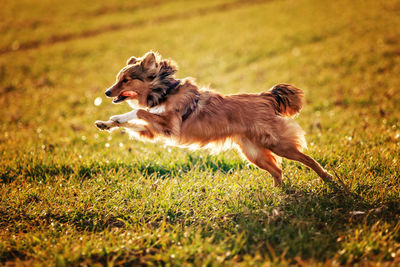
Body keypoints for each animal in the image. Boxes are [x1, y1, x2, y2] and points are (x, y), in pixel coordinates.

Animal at [95, 51, 332, 186]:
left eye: (126, 80)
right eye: (118, 78)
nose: (106, 92)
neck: (164, 92)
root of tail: (265, 96)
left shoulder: (168, 125)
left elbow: (138, 112)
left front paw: (116, 116)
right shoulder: (152, 131)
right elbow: (130, 123)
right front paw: (106, 123)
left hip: (277, 144)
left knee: (307, 159)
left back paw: (328, 179)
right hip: (253, 153)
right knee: (278, 170)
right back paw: (277, 194)